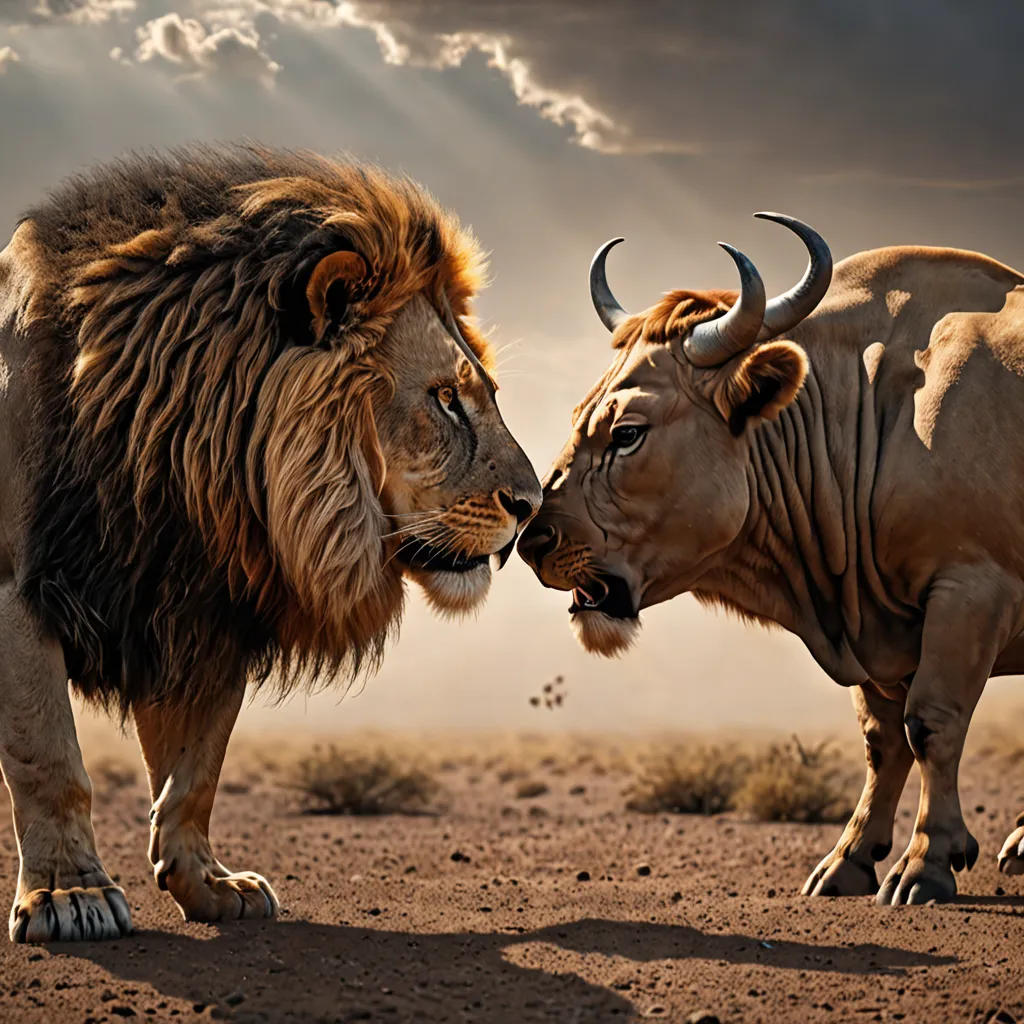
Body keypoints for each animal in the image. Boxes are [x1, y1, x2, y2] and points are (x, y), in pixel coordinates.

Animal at [0, 144, 540, 942]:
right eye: (445, 398)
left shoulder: (204, 607)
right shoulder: (17, 589)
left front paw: (208, 883)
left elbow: (195, 772)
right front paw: (70, 895)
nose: (532, 507)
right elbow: (51, 760)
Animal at [518, 214, 1024, 904]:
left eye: (627, 433)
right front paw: (850, 858)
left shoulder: (969, 594)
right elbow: (882, 740)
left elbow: (931, 725)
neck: (875, 416)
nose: (533, 540)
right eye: (579, 416)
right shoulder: (877, 625)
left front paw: (927, 860)